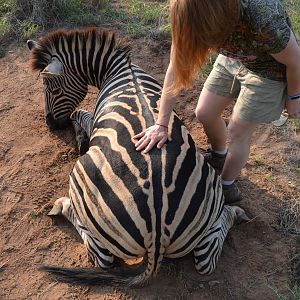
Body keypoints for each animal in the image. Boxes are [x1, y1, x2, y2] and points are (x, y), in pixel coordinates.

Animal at [27, 27, 248, 286]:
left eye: (52, 89)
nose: (51, 125)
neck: (120, 67)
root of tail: (158, 232)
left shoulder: (93, 120)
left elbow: (78, 113)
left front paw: (80, 137)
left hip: (81, 178)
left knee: (101, 257)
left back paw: (61, 205)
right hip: (209, 191)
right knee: (206, 259)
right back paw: (236, 213)